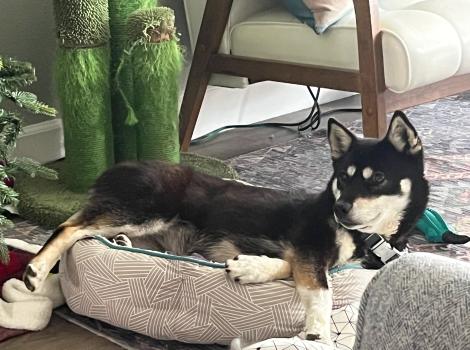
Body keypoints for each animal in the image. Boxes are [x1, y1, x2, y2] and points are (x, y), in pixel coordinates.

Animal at [24, 112, 430, 344]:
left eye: (377, 178)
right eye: (342, 179)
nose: (340, 208)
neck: (368, 238)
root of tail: (118, 167)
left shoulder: (301, 252)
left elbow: (289, 267)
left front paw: (249, 267)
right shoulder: (309, 247)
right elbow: (321, 289)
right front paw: (317, 329)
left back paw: (122, 242)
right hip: (148, 209)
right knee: (70, 228)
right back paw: (37, 269)